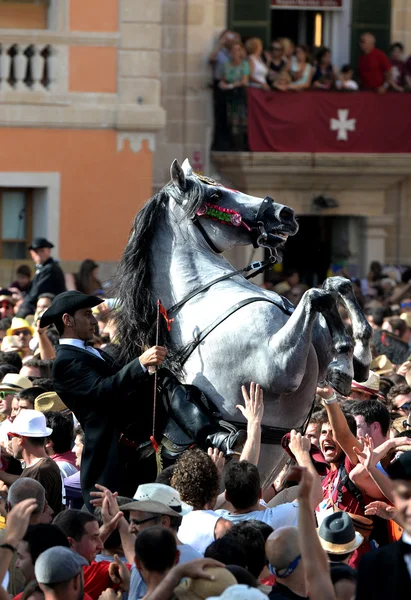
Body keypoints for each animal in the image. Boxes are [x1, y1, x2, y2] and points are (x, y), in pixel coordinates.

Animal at [115, 159, 374, 488]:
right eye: (215, 196)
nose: (285, 214)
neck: (204, 291)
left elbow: (335, 286)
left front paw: (347, 358)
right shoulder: (279, 368)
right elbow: (315, 294)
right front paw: (342, 364)